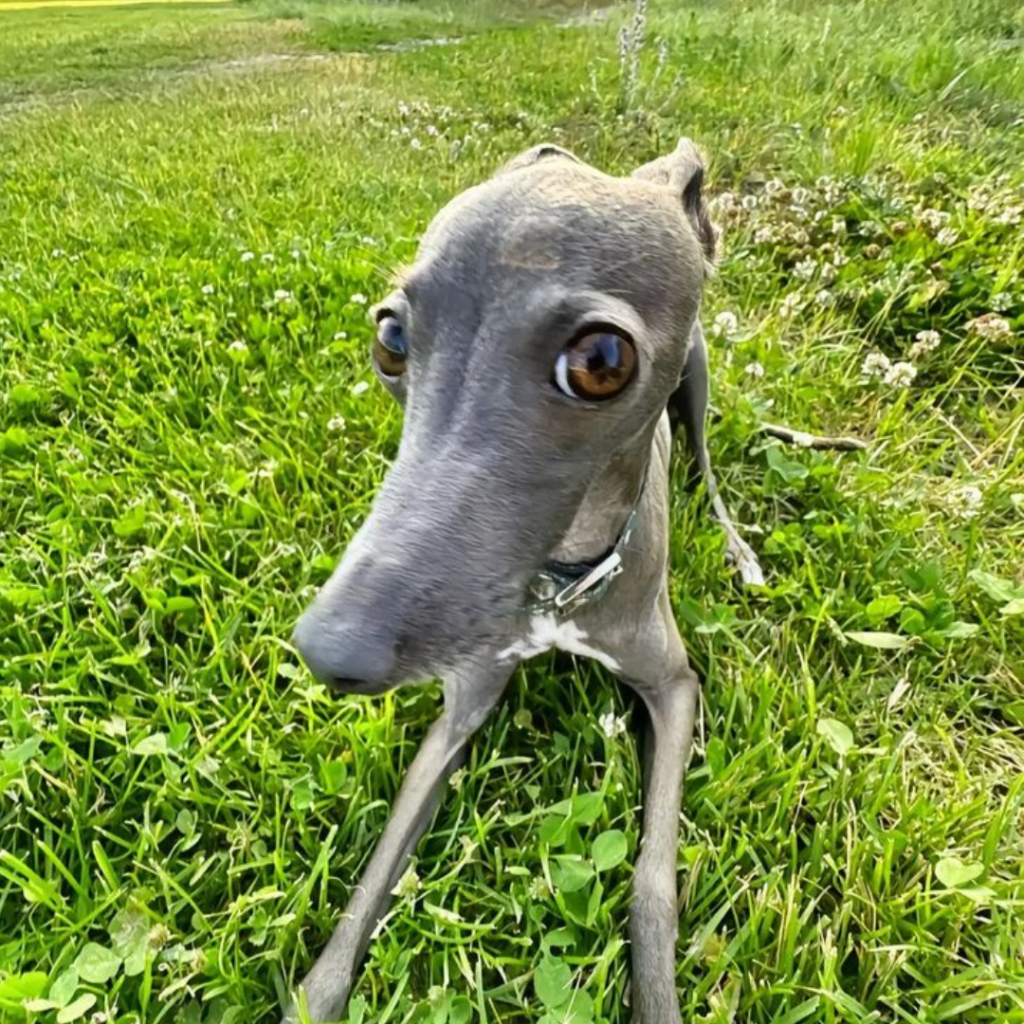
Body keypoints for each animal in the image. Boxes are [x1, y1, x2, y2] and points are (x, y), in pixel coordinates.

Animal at [288, 142, 770, 1024]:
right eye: (390, 339)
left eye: (601, 362)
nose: (330, 652)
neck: (561, 584)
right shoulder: (466, 691)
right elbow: (370, 886)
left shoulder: (675, 687)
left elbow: (652, 883)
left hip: (698, 376)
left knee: (707, 464)